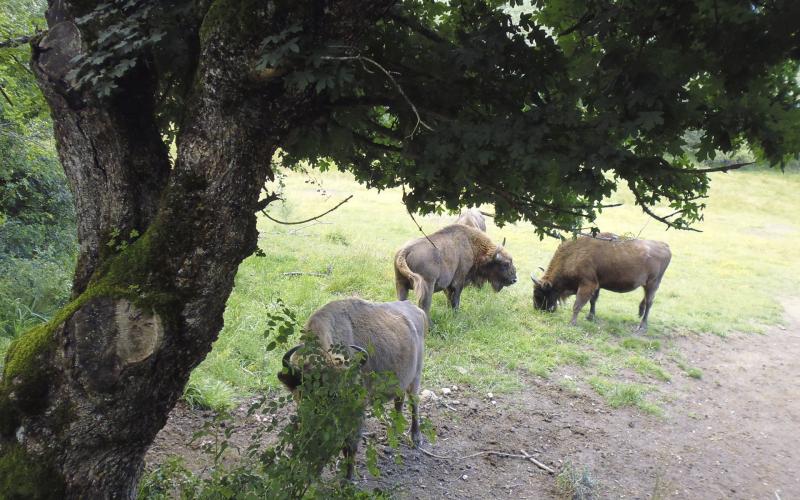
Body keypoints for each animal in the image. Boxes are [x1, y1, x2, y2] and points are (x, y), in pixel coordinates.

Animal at [276, 298, 428, 478]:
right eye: (304, 393)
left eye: (337, 394)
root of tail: (416, 309)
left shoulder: (356, 408)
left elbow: (350, 443)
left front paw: (348, 477)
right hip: (401, 382)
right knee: (399, 402)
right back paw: (394, 433)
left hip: (415, 378)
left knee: (414, 404)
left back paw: (416, 438)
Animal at [536, 235, 672, 330]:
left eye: (541, 293)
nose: (537, 309)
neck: (574, 254)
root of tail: (664, 246)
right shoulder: (596, 285)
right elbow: (593, 300)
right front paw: (590, 317)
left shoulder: (587, 284)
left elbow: (577, 305)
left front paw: (572, 323)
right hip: (647, 285)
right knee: (646, 299)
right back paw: (640, 313)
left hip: (653, 284)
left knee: (650, 302)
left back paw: (642, 326)